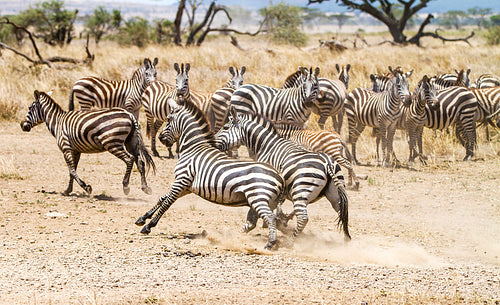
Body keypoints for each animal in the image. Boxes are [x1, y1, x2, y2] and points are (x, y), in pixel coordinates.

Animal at [20, 89, 155, 195]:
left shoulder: (66, 148)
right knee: (140, 161)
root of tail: (130, 115)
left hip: (112, 143)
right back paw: (145, 187)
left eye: (29, 108)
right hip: (131, 141)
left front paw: (87, 188)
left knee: (129, 159)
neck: (57, 122)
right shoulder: (76, 150)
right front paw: (68, 190)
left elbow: (72, 170)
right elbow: (72, 170)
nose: (22, 125)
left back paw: (126, 187)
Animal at [136, 97, 286, 249]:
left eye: (168, 119)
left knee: (270, 217)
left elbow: (167, 203)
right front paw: (143, 218)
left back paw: (269, 244)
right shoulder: (187, 186)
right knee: (255, 222)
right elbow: (162, 198)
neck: (193, 148)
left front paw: (149, 226)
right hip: (263, 201)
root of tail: (280, 178)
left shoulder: (182, 180)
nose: (161, 138)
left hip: (258, 198)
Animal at [216, 108, 352, 241]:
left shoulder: (264, 179)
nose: (212, 141)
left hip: (301, 190)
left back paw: (291, 241)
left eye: (225, 128)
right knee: (343, 212)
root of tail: (327, 162)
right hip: (334, 193)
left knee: (303, 218)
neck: (266, 145)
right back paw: (347, 241)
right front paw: (278, 222)